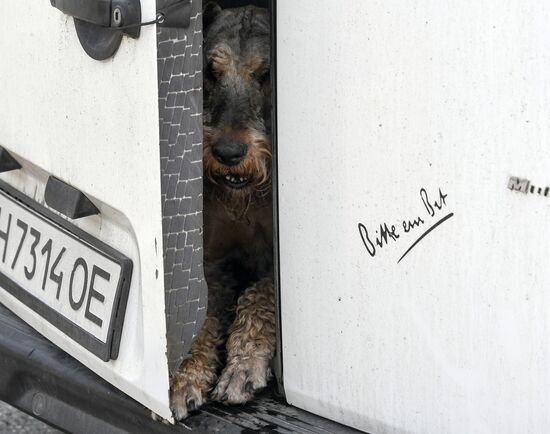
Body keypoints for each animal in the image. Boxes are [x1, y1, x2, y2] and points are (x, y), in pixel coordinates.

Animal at [170, 1, 276, 418]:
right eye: (210, 72)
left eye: (266, 73)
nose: (228, 153)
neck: (242, 200)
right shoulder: (211, 263)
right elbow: (201, 317)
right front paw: (185, 376)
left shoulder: (272, 264)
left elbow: (258, 296)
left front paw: (242, 368)